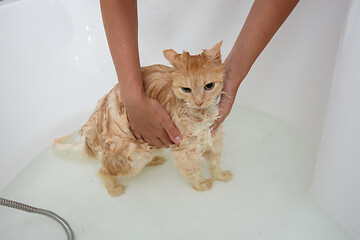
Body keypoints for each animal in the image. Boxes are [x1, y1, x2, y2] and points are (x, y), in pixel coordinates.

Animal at [54, 41, 232, 196]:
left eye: (209, 86)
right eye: (186, 89)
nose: (199, 102)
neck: (201, 115)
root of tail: (95, 121)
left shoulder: (214, 137)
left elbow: (214, 163)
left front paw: (220, 175)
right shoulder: (185, 148)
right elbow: (193, 171)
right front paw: (201, 185)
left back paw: (154, 161)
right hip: (134, 155)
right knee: (103, 171)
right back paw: (114, 189)